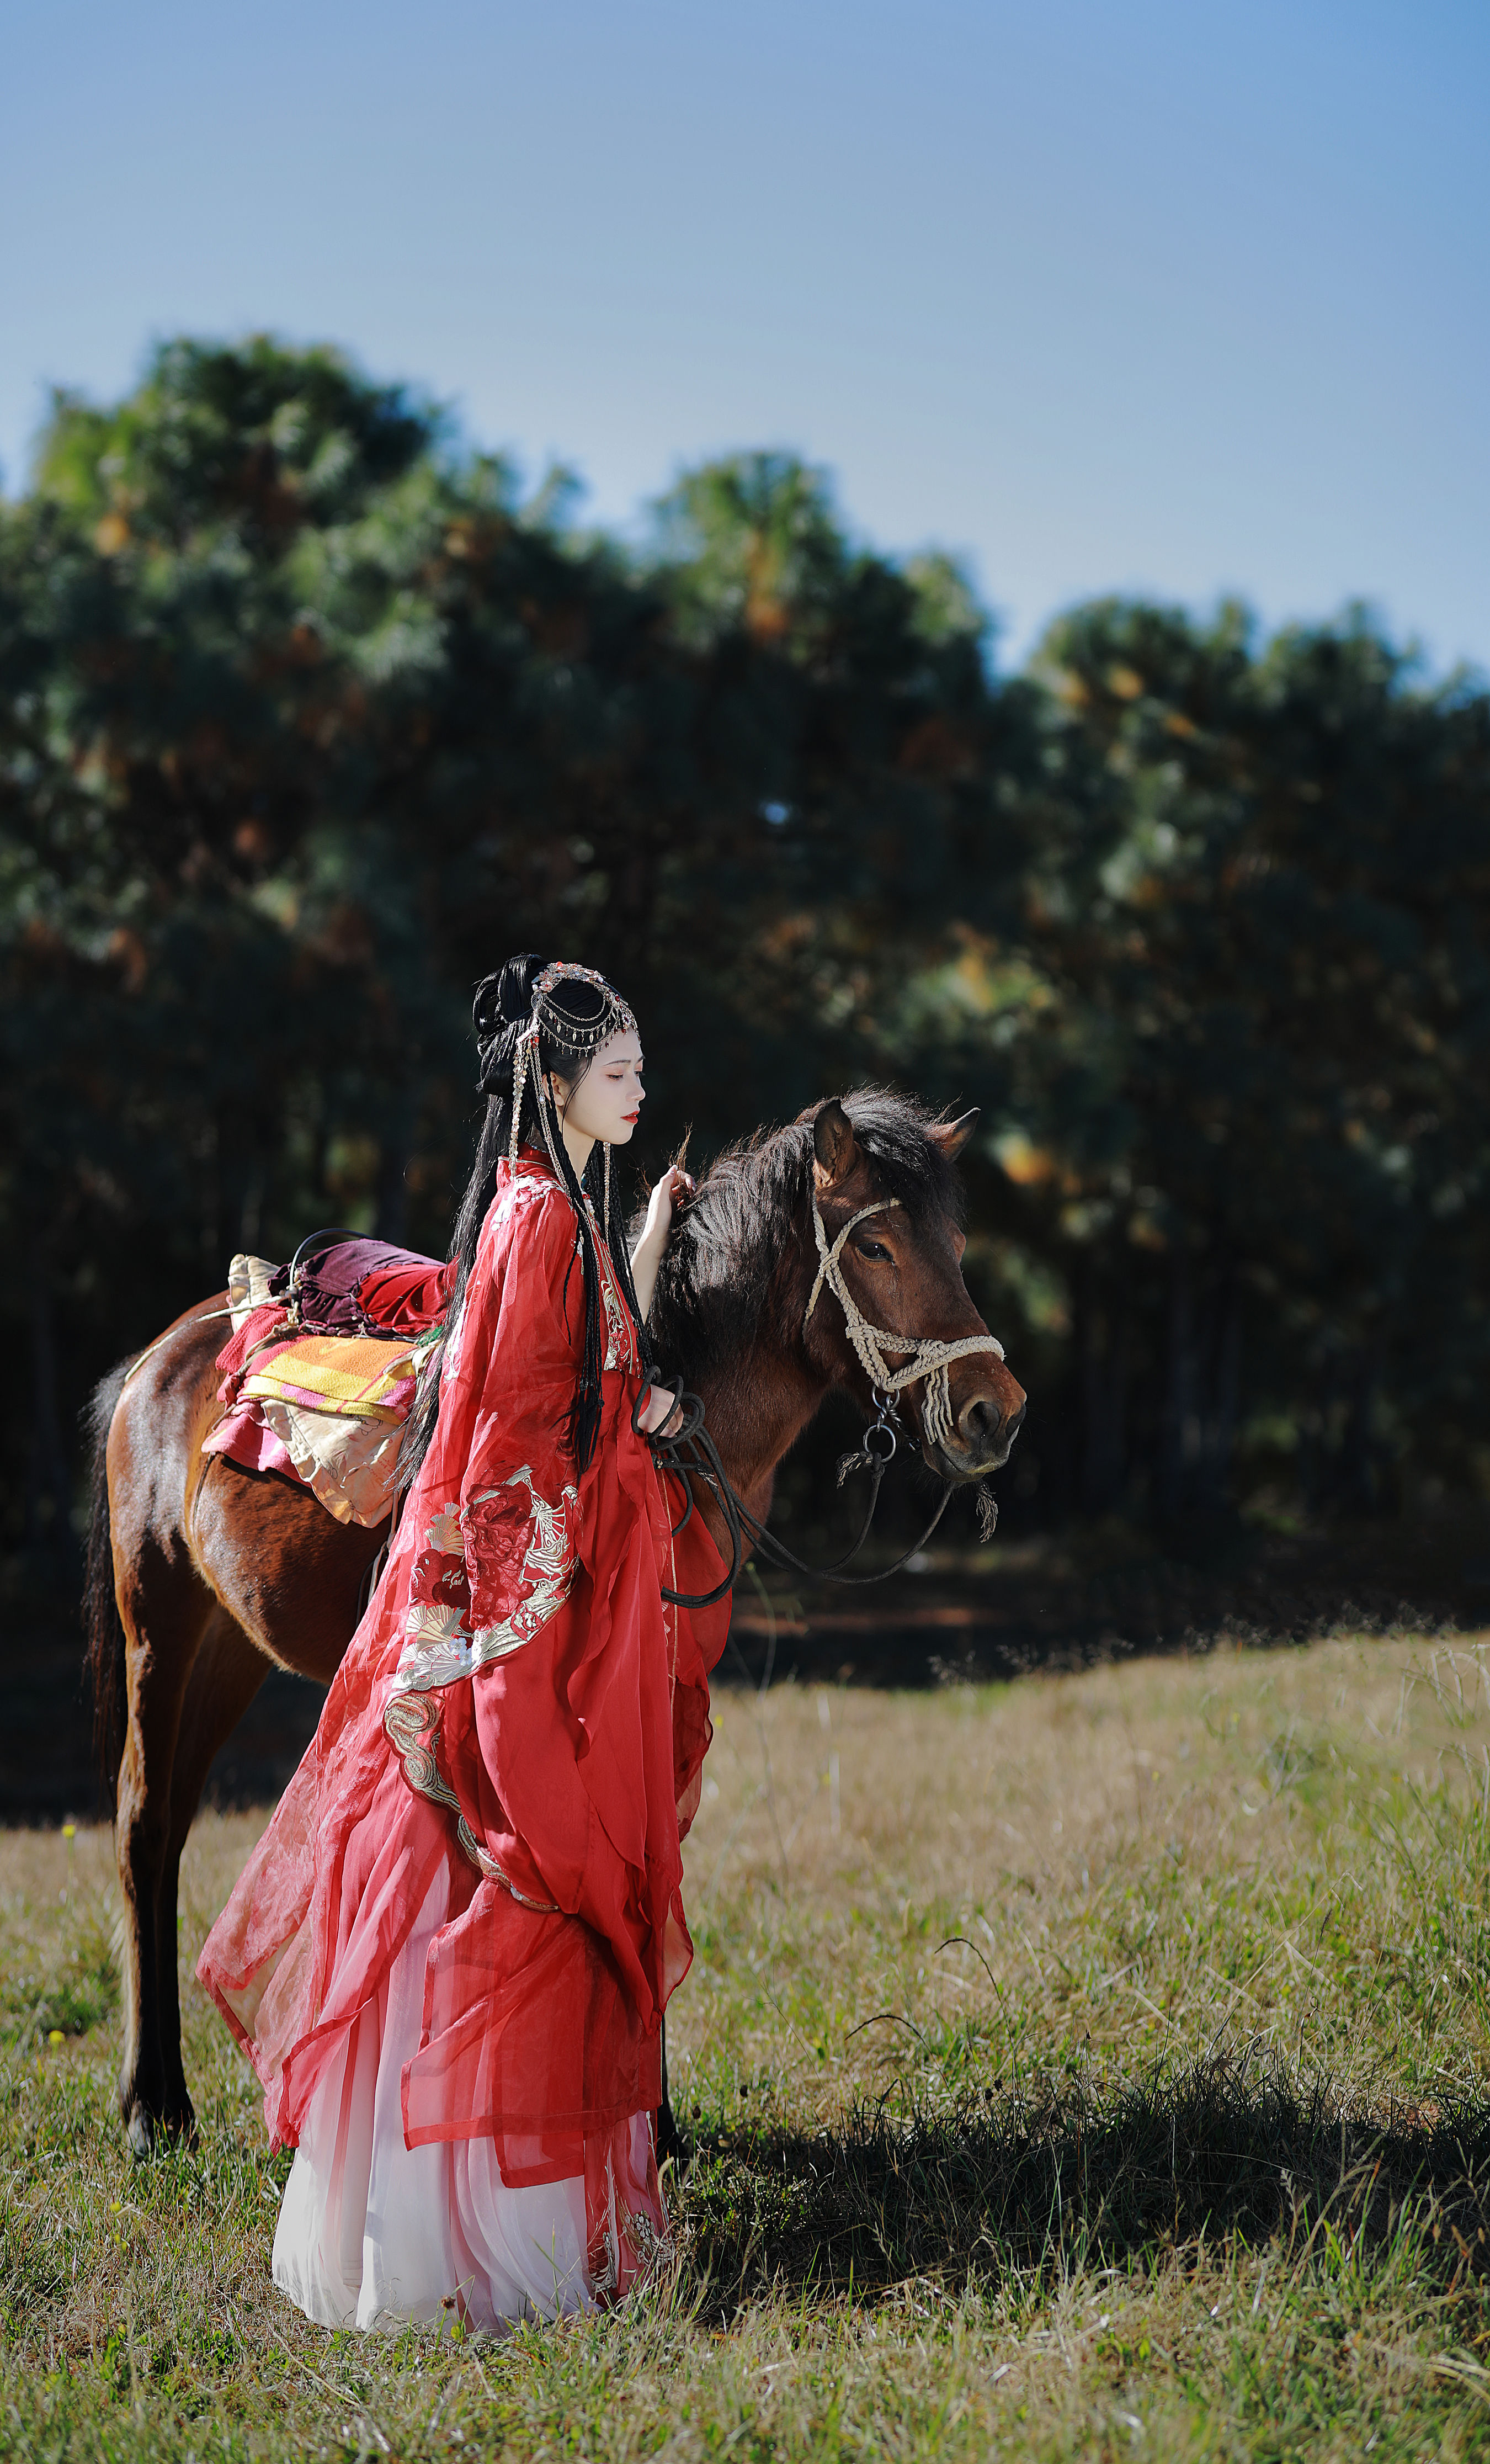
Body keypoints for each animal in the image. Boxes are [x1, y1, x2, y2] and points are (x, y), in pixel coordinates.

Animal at [81, 1089, 1024, 2148]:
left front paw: (649, 2117)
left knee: (171, 1829)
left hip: (229, 1649)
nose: (996, 1412)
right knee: (142, 1825)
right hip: (160, 1625)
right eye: (876, 1247)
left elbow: (640, 1855)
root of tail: (158, 1358)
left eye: (953, 1243)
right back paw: (151, 2105)